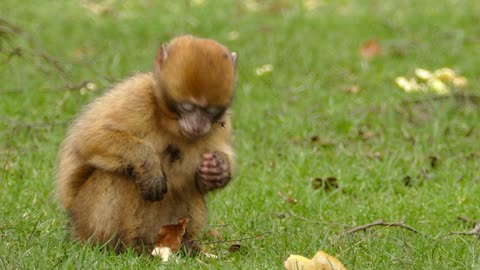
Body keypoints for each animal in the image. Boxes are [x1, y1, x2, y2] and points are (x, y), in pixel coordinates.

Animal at [57, 34, 237, 253]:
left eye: (210, 111)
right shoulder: (137, 98)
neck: (169, 122)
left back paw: (183, 243)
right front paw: (147, 161)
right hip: (86, 218)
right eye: (187, 107)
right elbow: (89, 138)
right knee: (116, 175)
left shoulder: (223, 122)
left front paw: (218, 169)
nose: (198, 125)